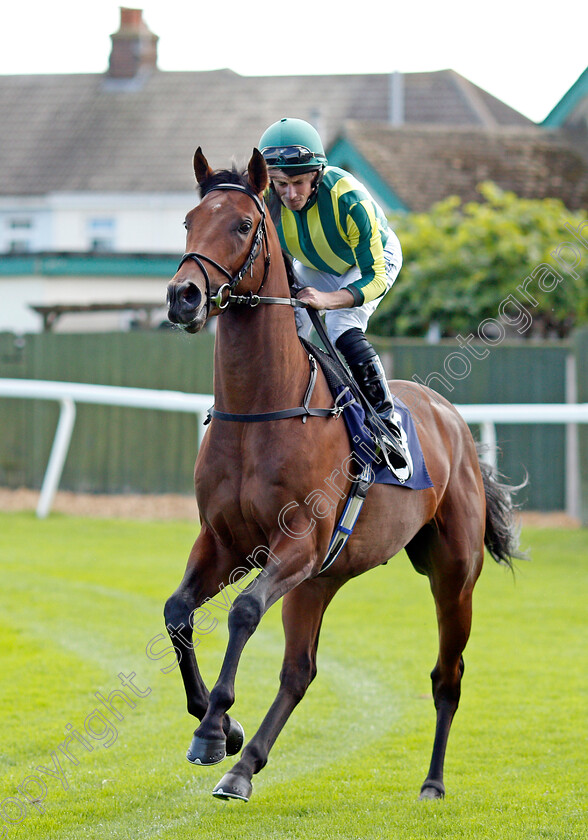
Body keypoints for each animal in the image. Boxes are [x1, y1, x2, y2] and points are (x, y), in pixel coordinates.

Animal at [163, 148, 520, 804]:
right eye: (188, 221)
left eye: (243, 225)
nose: (184, 297)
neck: (261, 409)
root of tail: (452, 419)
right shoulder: (224, 541)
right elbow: (178, 611)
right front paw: (219, 727)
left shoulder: (298, 542)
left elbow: (243, 613)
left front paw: (214, 726)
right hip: (321, 580)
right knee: (299, 672)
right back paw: (244, 765)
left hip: (452, 574)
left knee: (448, 675)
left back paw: (433, 782)